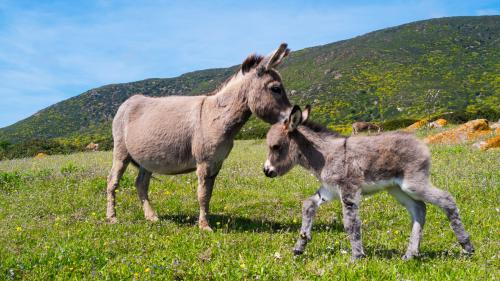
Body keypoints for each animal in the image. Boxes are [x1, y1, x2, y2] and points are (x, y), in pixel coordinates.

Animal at [264, 105, 474, 260]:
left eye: (276, 147)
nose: (266, 171)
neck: (324, 155)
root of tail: (420, 143)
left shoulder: (348, 189)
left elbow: (351, 222)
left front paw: (356, 257)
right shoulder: (329, 190)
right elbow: (308, 204)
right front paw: (301, 244)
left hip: (413, 183)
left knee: (446, 199)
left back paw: (467, 247)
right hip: (396, 188)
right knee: (419, 209)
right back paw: (410, 254)